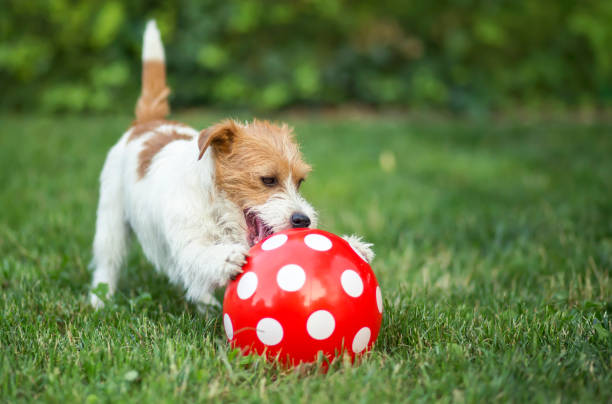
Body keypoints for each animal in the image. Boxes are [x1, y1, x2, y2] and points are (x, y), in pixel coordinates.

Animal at [87, 21, 372, 312]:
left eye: (300, 181)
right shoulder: (187, 243)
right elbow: (199, 255)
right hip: (111, 218)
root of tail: (148, 122)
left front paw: (354, 246)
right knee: (108, 261)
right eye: (268, 179)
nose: (303, 220)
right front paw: (227, 257)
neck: (215, 205)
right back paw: (100, 300)